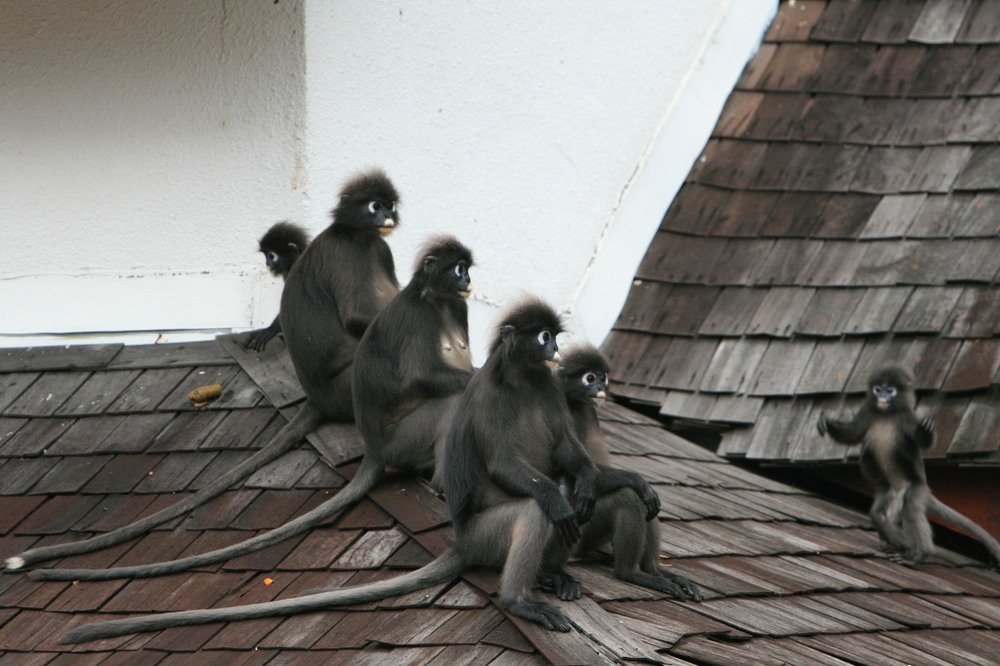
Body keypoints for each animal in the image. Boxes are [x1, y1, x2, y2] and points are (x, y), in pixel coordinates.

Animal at [29, 234, 472, 583]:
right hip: (402, 440)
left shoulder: (459, 308)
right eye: (458, 269)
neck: (436, 301)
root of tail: (374, 450)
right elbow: (421, 376)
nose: (467, 279)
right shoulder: (418, 316)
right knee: (448, 404)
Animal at [57, 298, 600, 643]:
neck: (523, 378)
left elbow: (570, 457)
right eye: (543, 336)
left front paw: (589, 485)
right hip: (486, 535)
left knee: (568, 489)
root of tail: (461, 543)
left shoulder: (547, 386)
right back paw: (519, 597)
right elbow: (508, 466)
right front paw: (558, 502)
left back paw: (552, 569)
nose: (553, 350)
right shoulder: (489, 395)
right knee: (536, 508)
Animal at [546, 346, 701, 601]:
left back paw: (656, 572)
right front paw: (639, 481)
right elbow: (584, 472)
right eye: (589, 378)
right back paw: (631, 573)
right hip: (585, 532)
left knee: (648, 507)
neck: (575, 403)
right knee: (628, 497)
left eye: (602, 377)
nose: (600, 387)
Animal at [818, 365, 1000, 567]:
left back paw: (919, 553)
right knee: (879, 514)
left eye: (890, 391)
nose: (882, 396)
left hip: (917, 488)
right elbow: (852, 435)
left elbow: (920, 441)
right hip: (889, 493)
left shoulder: (907, 418)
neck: (887, 414)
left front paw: (926, 430)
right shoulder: (868, 411)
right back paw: (897, 544)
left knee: (912, 508)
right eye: (878, 389)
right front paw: (827, 422)